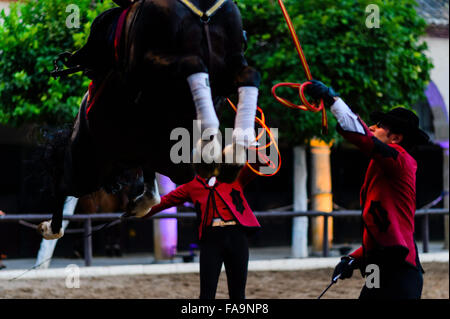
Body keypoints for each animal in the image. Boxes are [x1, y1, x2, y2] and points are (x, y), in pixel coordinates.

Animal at [41, 0, 264, 240]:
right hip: (85, 167)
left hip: (145, 155)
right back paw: (50, 228)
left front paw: (235, 153)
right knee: (63, 185)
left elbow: (250, 74)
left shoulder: (231, 63)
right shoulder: (149, 62)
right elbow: (193, 63)